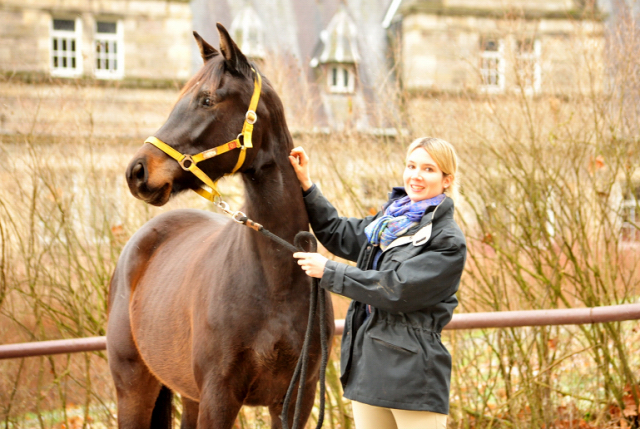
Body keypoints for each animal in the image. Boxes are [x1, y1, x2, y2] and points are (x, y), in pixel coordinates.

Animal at [106, 24, 336, 428]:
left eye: (207, 100)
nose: (137, 172)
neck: (276, 278)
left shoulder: (296, 398)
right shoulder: (219, 396)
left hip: (187, 395)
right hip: (133, 389)